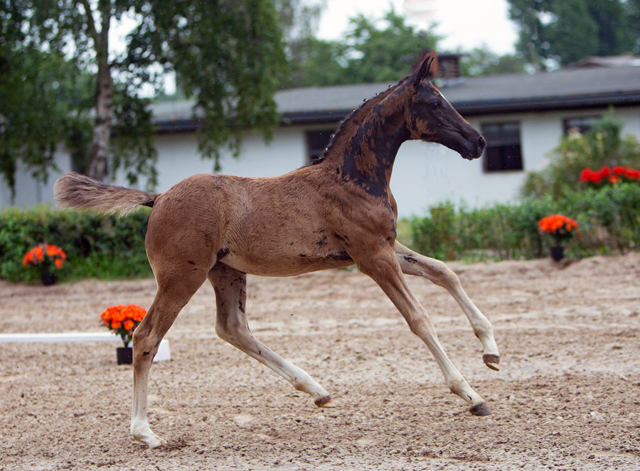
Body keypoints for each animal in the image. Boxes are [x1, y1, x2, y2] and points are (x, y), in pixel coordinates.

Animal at [55, 56, 500, 450]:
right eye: (434, 103)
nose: (478, 142)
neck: (352, 179)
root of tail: (158, 197)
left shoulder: (387, 248)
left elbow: (444, 272)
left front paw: (491, 352)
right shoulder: (373, 257)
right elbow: (419, 319)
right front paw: (471, 394)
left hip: (225, 271)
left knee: (232, 327)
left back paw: (316, 389)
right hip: (181, 277)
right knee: (146, 335)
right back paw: (144, 432)